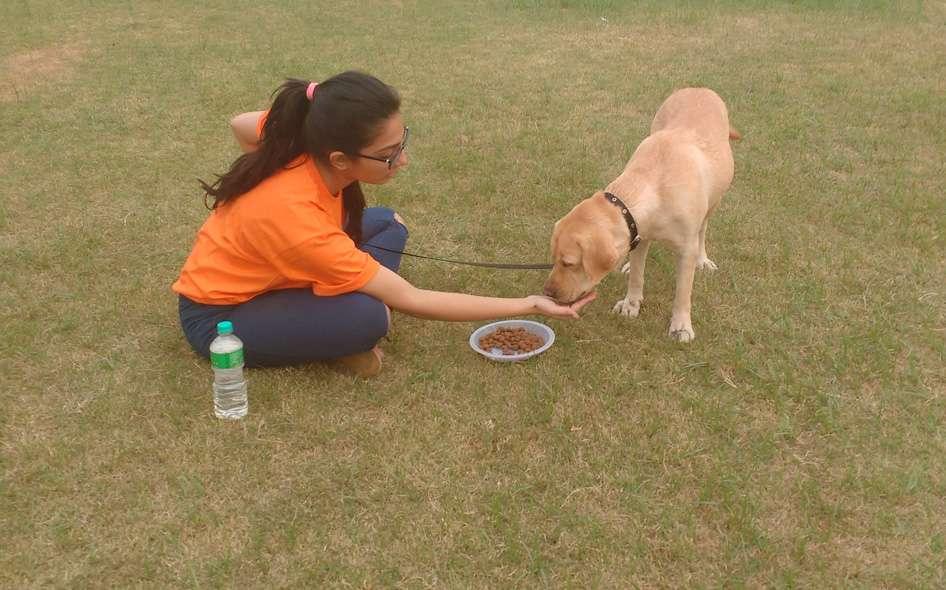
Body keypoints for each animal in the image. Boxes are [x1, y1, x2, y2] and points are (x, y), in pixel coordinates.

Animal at [540, 87, 736, 342]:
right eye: (554, 259)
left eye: (569, 263)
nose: (548, 292)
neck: (651, 184)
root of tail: (699, 88)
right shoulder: (638, 231)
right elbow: (637, 275)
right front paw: (630, 304)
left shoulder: (685, 249)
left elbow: (683, 292)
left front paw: (681, 325)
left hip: (714, 200)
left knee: (703, 230)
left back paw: (703, 260)